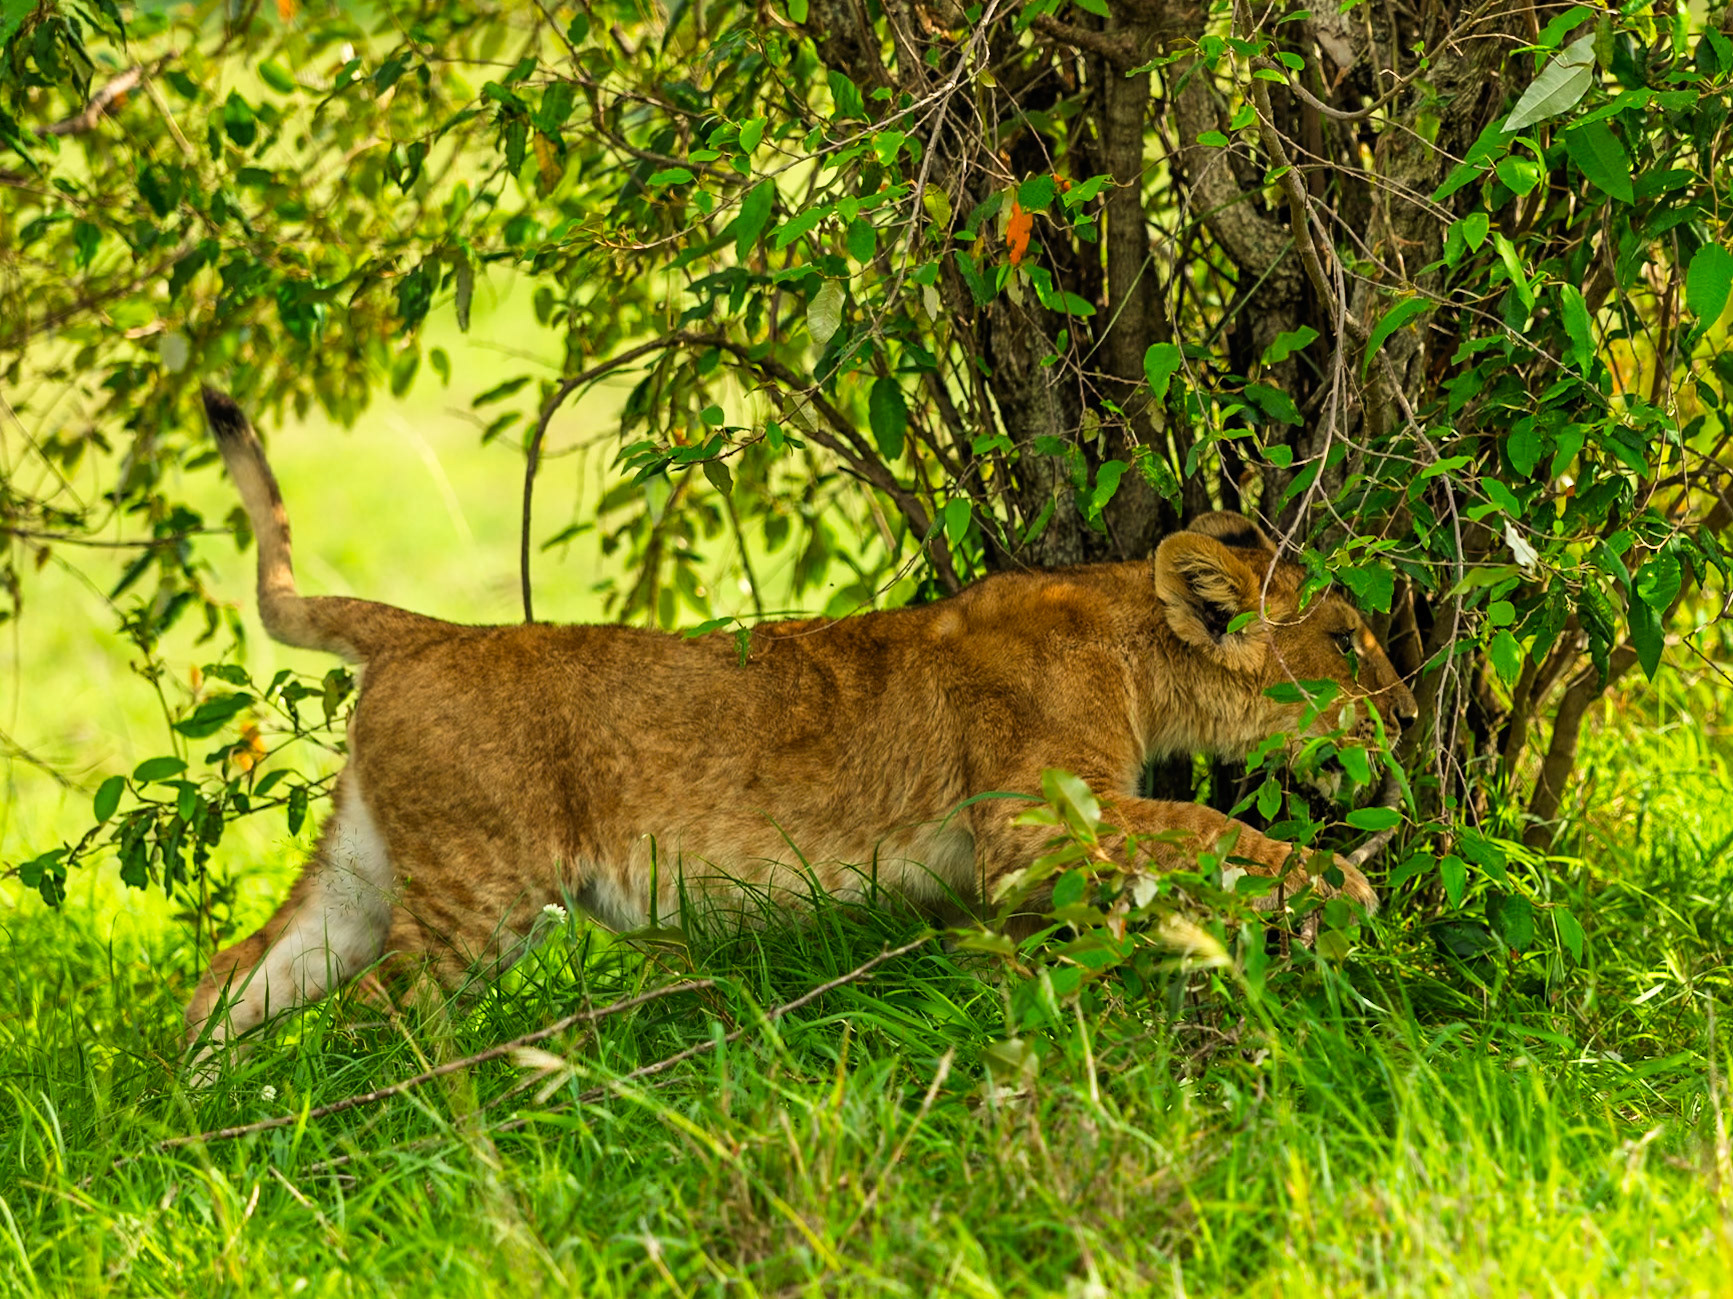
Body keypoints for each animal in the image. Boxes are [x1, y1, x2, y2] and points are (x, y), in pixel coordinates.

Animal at [184, 388, 1418, 1056]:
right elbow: (1207, 830)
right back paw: (410, 1122)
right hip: (481, 888)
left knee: (237, 973)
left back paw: (200, 1115)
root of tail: (420, 633)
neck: (1124, 632)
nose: (1407, 718)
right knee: (377, 1017)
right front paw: (1339, 888)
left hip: (368, 869)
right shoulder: (1027, 822)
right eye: (1347, 639)